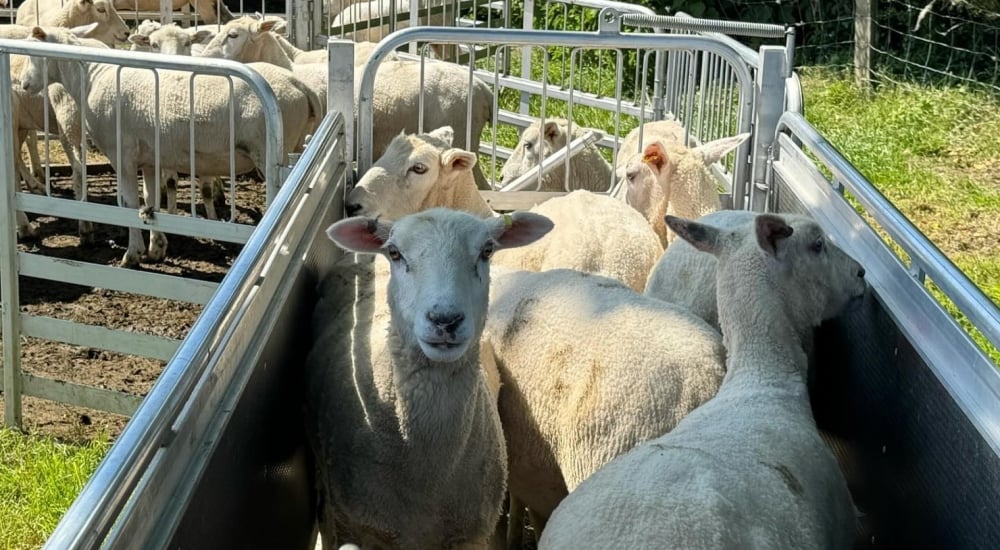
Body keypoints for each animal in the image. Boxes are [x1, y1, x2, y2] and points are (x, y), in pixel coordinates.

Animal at [18, 25, 320, 268]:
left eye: (33, 52)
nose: (23, 84)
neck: (93, 77)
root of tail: (297, 83)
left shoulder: (121, 155)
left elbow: (129, 204)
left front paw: (133, 255)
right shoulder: (150, 159)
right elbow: (151, 201)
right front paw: (157, 248)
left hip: (270, 152)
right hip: (295, 143)